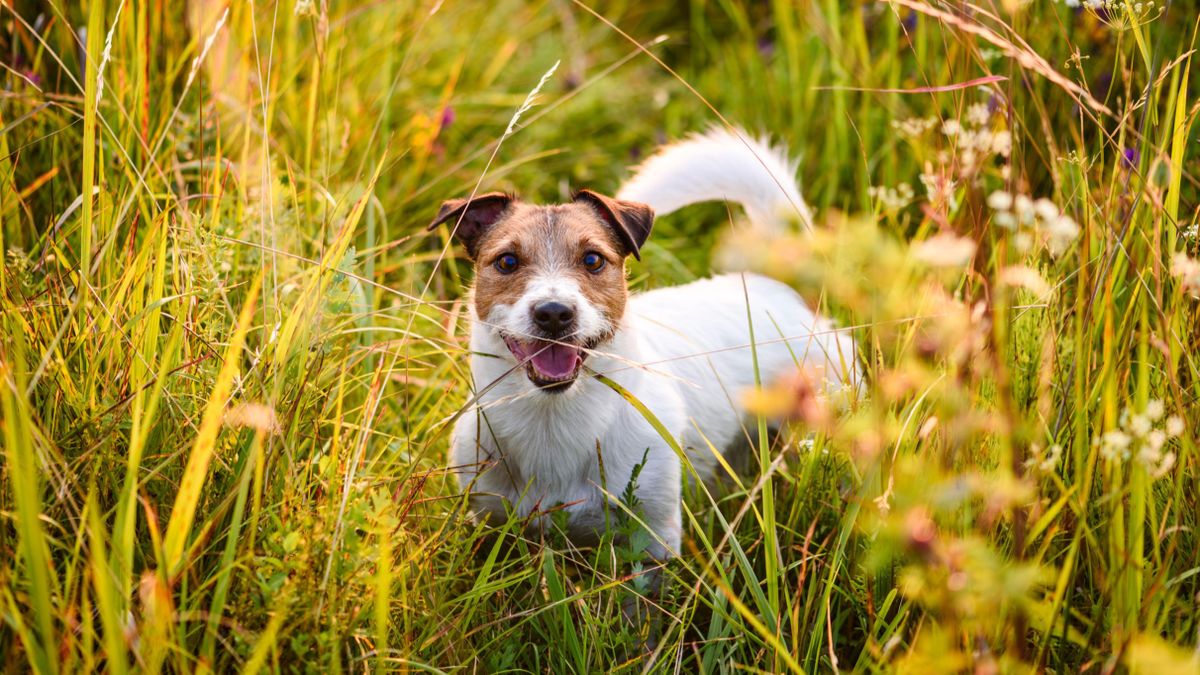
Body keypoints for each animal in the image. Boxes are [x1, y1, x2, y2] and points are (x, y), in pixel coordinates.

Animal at [436, 126, 859, 557]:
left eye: (593, 260)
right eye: (507, 262)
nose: (554, 313)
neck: (553, 421)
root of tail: (770, 284)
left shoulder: (655, 536)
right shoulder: (489, 522)